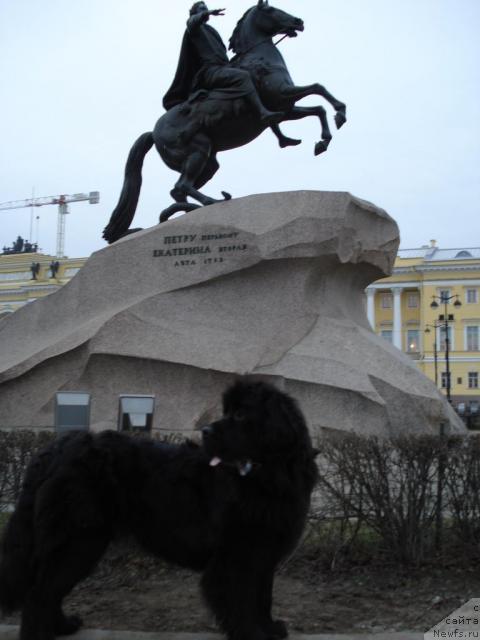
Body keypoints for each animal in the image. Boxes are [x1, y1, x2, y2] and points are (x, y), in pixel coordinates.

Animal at [0, 378, 318, 636]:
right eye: (228, 412)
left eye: (240, 414)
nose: (205, 430)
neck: (270, 476)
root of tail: (54, 448)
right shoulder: (234, 557)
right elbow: (242, 606)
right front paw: (254, 635)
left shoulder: (264, 552)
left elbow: (263, 598)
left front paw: (271, 629)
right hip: (79, 539)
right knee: (39, 595)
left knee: (48, 591)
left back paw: (63, 626)